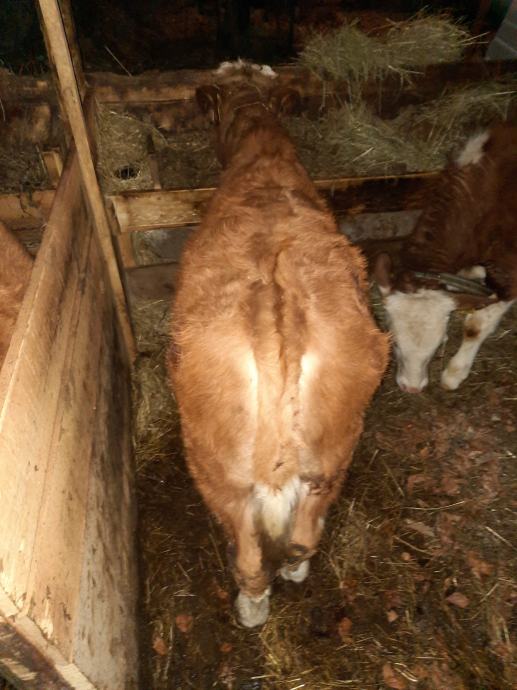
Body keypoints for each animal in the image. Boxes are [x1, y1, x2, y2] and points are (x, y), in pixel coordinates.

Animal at [168, 61, 389, 627]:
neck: (262, 155)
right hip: (333, 453)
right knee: (304, 537)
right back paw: (296, 570)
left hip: (221, 473)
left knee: (249, 557)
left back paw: (251, 608)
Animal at [373, 124, 517, 393]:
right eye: (394, 342)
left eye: (437, 345)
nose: (411, 388)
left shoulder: (510, 272)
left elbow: (476, 325)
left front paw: (455, 372)